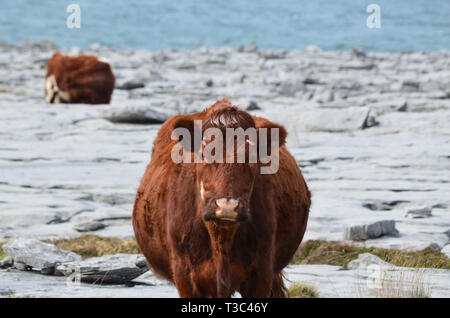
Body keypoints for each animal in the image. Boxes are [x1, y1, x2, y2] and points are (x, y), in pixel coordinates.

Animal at [132, 98, 312, 296]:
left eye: (251, 156)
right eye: (203, 153)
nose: (227, 206)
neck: (221, 238)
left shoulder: (262, 272)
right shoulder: (183, 274)